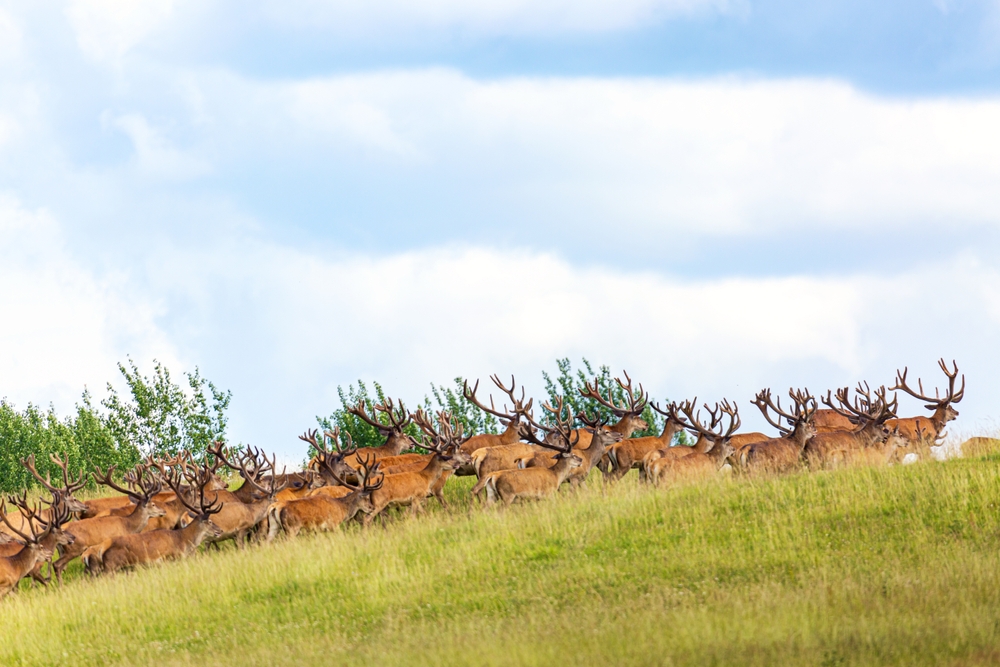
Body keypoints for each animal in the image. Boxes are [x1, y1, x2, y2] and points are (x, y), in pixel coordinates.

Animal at [82, 463, 224, 574]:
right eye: (210, 521)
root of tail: (101, 549)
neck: (182, 540)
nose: (220, 531)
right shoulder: (169, 558)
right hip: (112, 566)